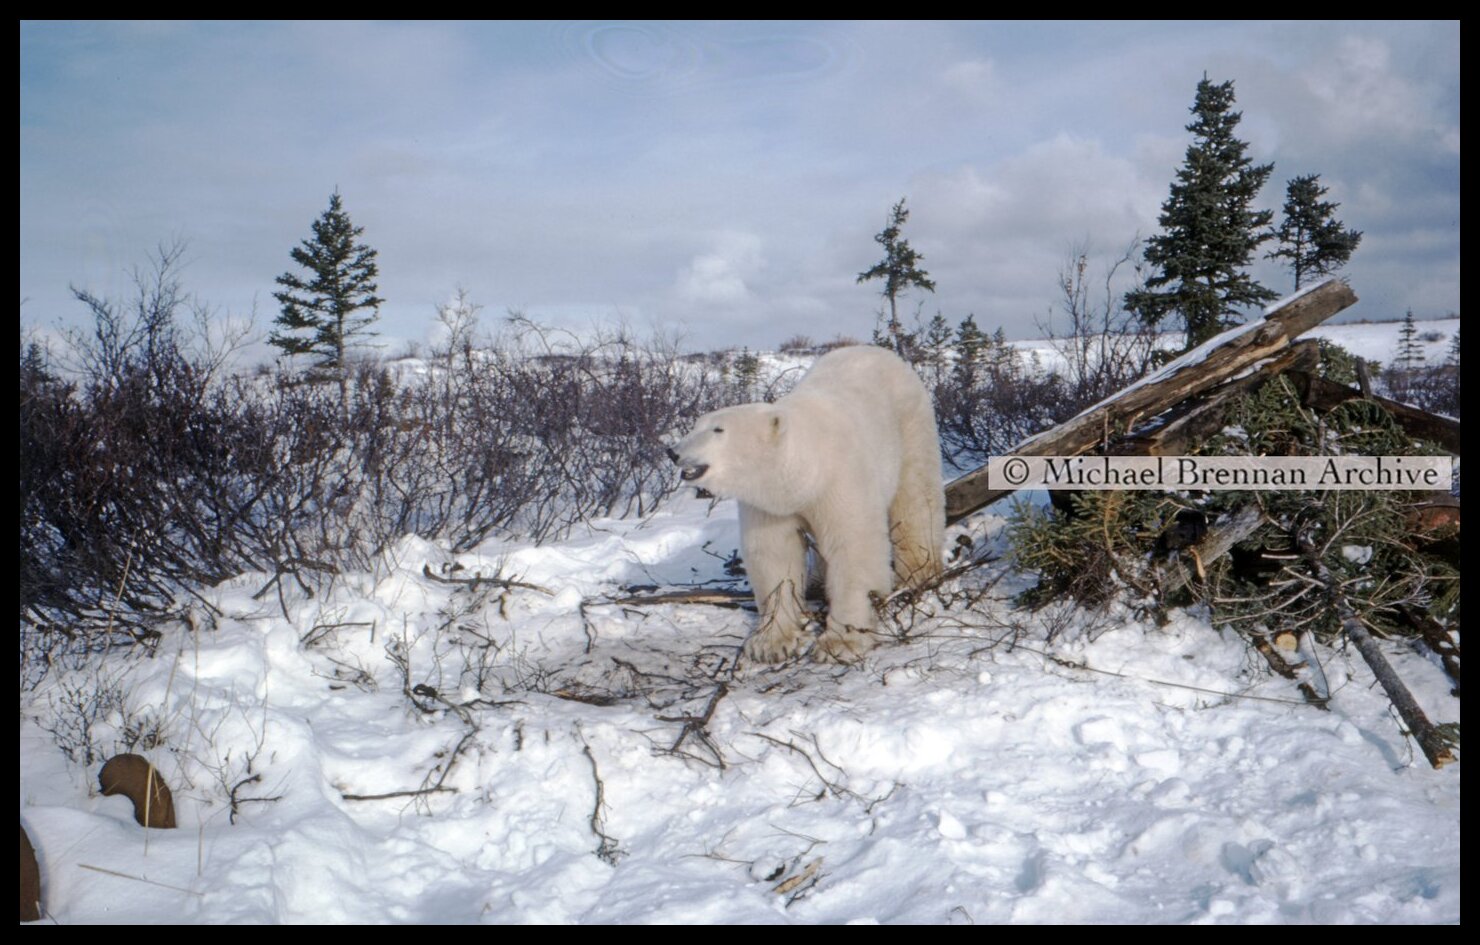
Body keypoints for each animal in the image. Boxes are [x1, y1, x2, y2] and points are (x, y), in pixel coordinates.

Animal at [670, 345, 945, 662]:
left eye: (718, 430)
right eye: (695, 425)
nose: (673, 452)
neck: (808, 467)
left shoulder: (840, 480)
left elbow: (853, 547)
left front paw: (841, 642)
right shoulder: (769, 505)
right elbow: (774, 553)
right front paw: (771, 643)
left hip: (909, 423)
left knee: (916, 495)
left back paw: (919, 572)